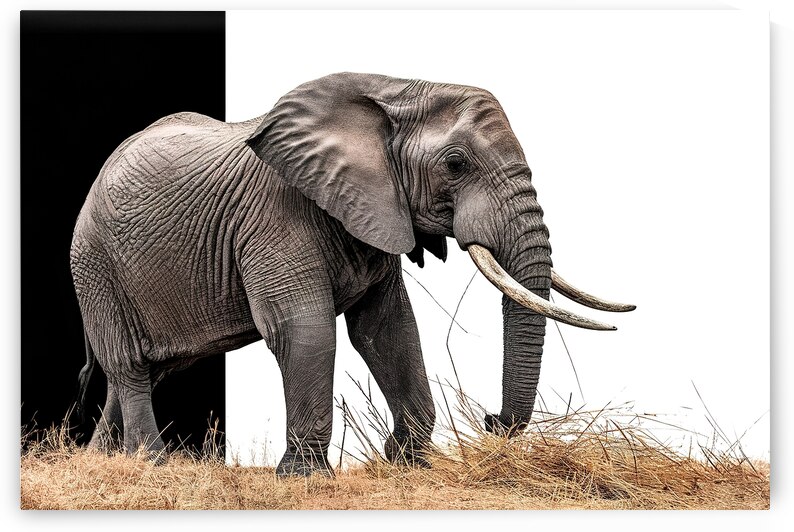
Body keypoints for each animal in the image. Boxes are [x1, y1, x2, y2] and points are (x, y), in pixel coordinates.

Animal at [71, 72, 635, 476]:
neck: (393, 91)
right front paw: (304, 478)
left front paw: (409, 464)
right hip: (94, 265)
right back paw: (150, 463)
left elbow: (388, 330)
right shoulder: (274, 216)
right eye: (455, 164)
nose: (492, 421)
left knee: (146, 369)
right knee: (128, 364)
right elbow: (304, 330)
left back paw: (97, 460)